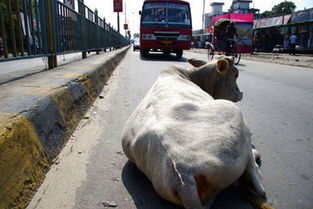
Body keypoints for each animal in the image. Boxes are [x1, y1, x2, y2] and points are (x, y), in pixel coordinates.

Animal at [120, 56, 272, 209]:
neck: (193, 76)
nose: (241, 94)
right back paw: (256, 161)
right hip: (234, 113)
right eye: (236, 74)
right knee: (256, 180)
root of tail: (183, 175)